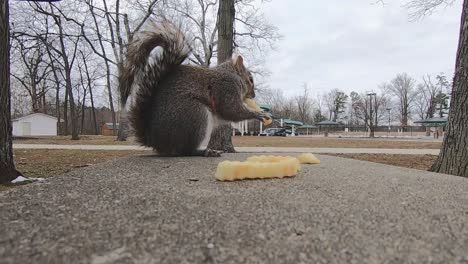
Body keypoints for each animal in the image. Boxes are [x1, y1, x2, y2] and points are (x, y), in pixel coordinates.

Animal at [119, 21, 270, 157]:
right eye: (250, 80)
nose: (253, 95)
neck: (232, 75)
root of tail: (155, 141)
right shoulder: (226, 88)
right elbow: (231, 110)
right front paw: (258, 114)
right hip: (195, 115)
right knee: (185, 150)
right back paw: (206, 151)